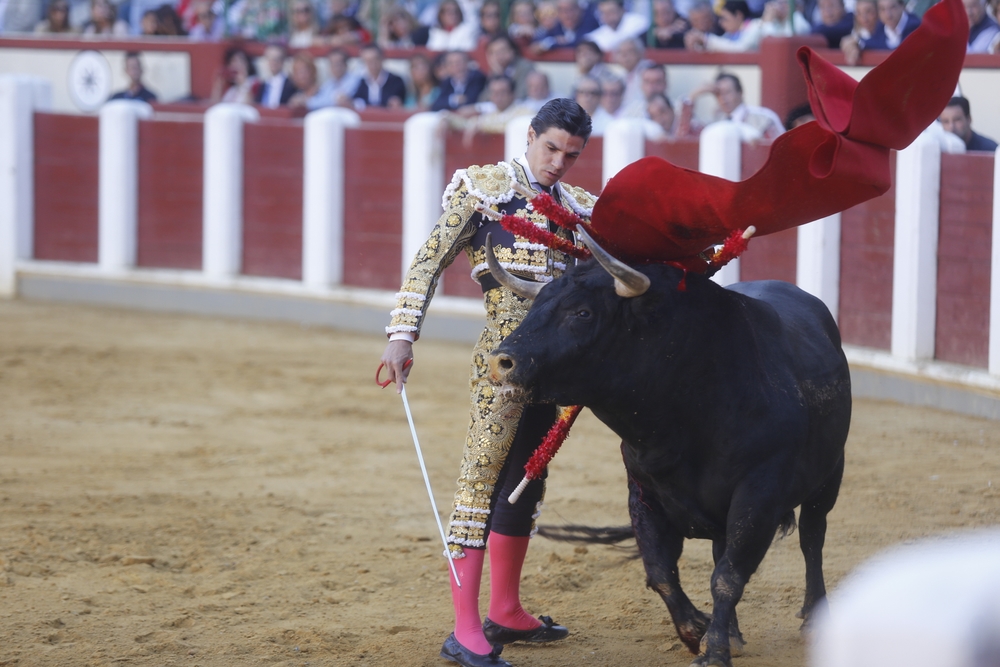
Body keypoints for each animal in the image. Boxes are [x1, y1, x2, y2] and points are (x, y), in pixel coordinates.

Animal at [488, 252, 848, 667]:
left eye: (582, 312)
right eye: (536, 305)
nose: (502, 362)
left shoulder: (758, 496)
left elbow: (729, 577)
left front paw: (714, 651)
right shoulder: (644, 490)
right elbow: (661, 570)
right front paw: (697, 630)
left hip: (829, 476)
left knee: (812, 537)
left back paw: (812, 619)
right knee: (722, 551)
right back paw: (734, 631)